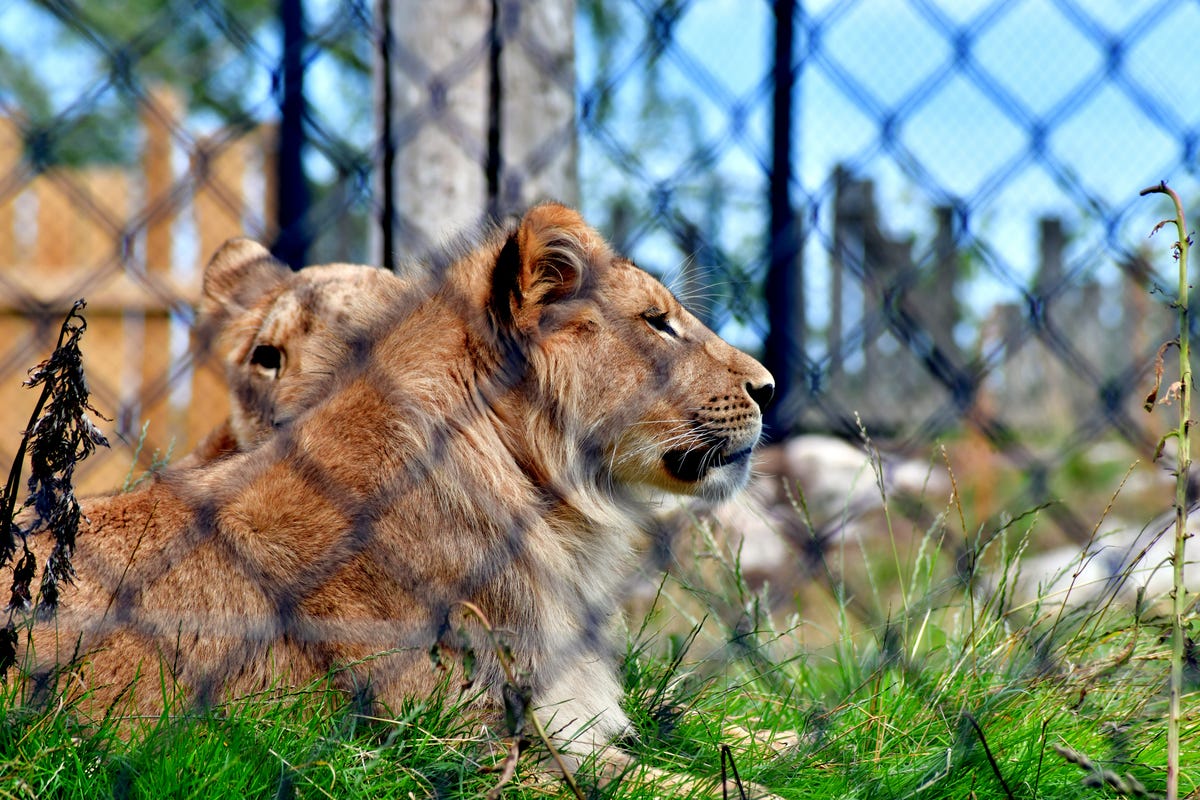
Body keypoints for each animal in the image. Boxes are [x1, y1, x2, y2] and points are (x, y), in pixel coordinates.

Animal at [23, 205, 777, 796]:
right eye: (657, 324)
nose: (769, 387)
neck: (550, 512)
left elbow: (685, 721)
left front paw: (787, 737)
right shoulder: (447, 751)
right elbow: (671, 782)